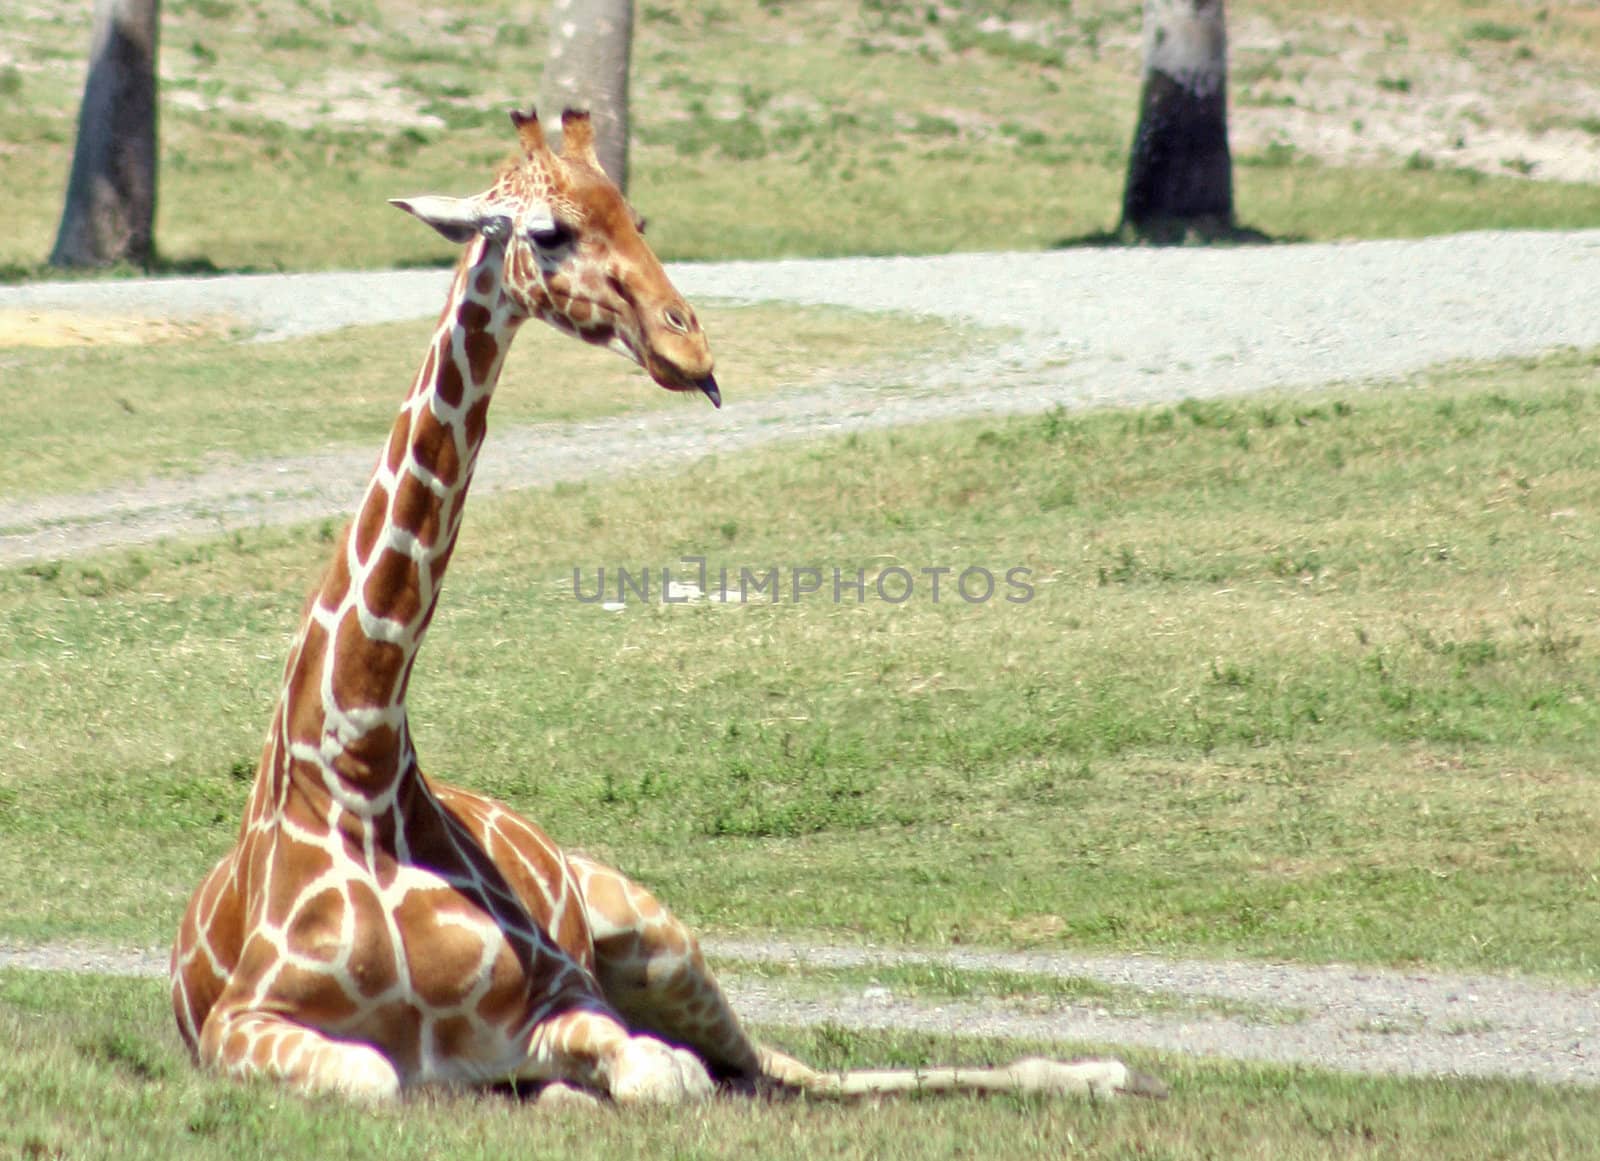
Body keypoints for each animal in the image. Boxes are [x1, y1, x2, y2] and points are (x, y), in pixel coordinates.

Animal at [168, 108, 1171, 1106]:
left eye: (636, 218)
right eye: (549, 233)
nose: (691, 348)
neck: (358, 767)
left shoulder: (561, 994)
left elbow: (664, 1076)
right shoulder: (239, 1023)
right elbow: (382, 1073)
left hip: (655, 935)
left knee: (779, 1068)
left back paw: (1107, 1070)